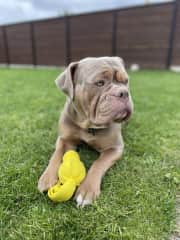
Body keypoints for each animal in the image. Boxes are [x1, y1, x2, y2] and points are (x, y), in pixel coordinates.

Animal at [37, 56, 134, 206]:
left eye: (125, 81)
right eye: (100, 83)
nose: (123, 92)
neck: (88, 124)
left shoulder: (114, 148)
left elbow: (98, 163)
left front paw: (87, 190)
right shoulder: (64, 139)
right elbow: (56, 154)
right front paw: (47, 178)